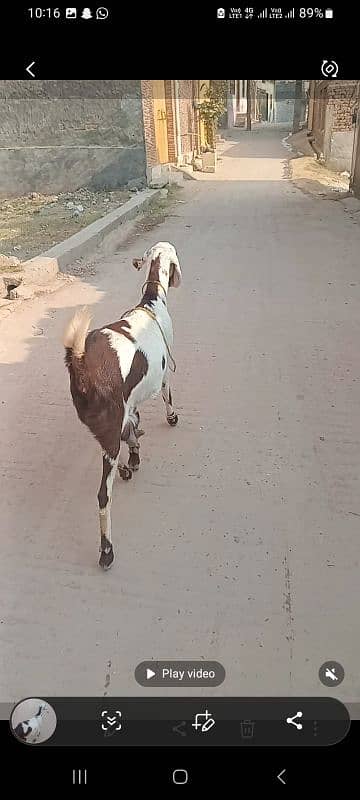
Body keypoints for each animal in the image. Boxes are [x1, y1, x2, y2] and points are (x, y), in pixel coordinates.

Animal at [63, 242, 181, 568]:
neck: (152, 302)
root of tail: (81, 364)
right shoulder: (164, 375)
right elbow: (168, 397)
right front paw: (172, 417)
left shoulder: (131, 405)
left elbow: (134, 429)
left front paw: (134, 459)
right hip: (109, 431)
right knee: (103, 496)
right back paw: (106, 550)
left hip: (107, 430)